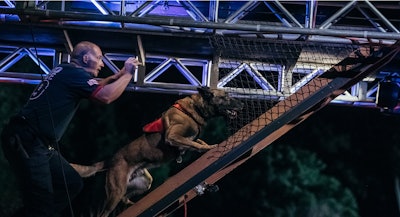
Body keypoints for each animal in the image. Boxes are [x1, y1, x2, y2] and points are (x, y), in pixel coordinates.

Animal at [98, 87, 242, 217]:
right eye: (226, 96)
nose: (242, 104)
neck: (195, 109)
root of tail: (110, 161)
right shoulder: (172, 136)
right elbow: (195, 143)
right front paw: (208, 148)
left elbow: (197, 142)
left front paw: (206, 145)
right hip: (116, 192)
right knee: (104, 213)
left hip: (143, 183)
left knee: (124, 200)